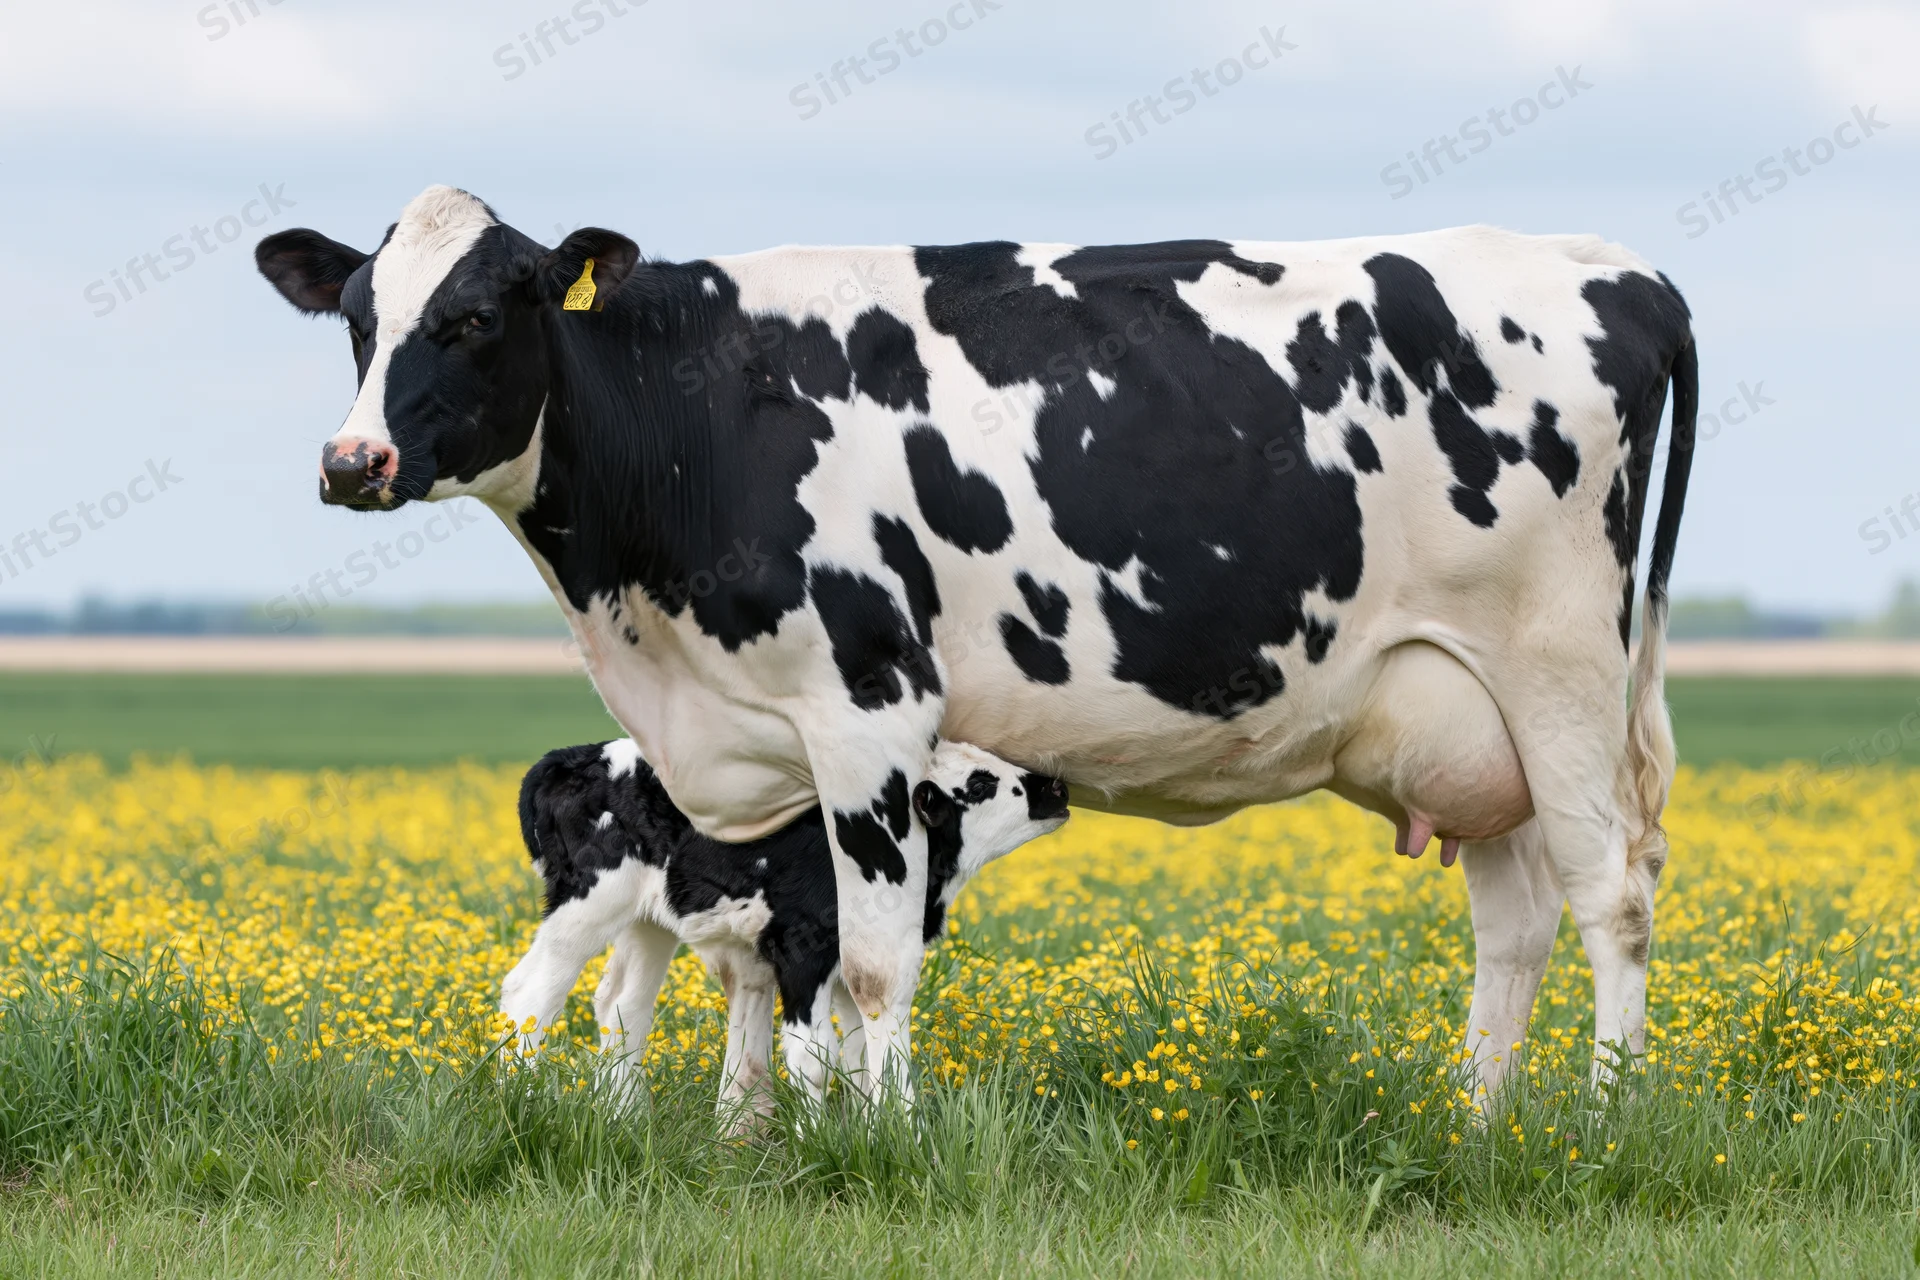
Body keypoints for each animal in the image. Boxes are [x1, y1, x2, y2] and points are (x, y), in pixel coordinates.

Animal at [501, 737, 1068, 1126]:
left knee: (622, 1004)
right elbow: (815, 1058)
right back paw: (521, 1106)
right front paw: (813, 1144)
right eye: (981, 784)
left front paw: (866, 1135)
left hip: (647, 920)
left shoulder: (851, 961)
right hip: (590, 900)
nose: (1056, 785)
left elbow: (861, 1057)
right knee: (529, 993)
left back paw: (626, 1118)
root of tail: (574, 756)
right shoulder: (801, 952)